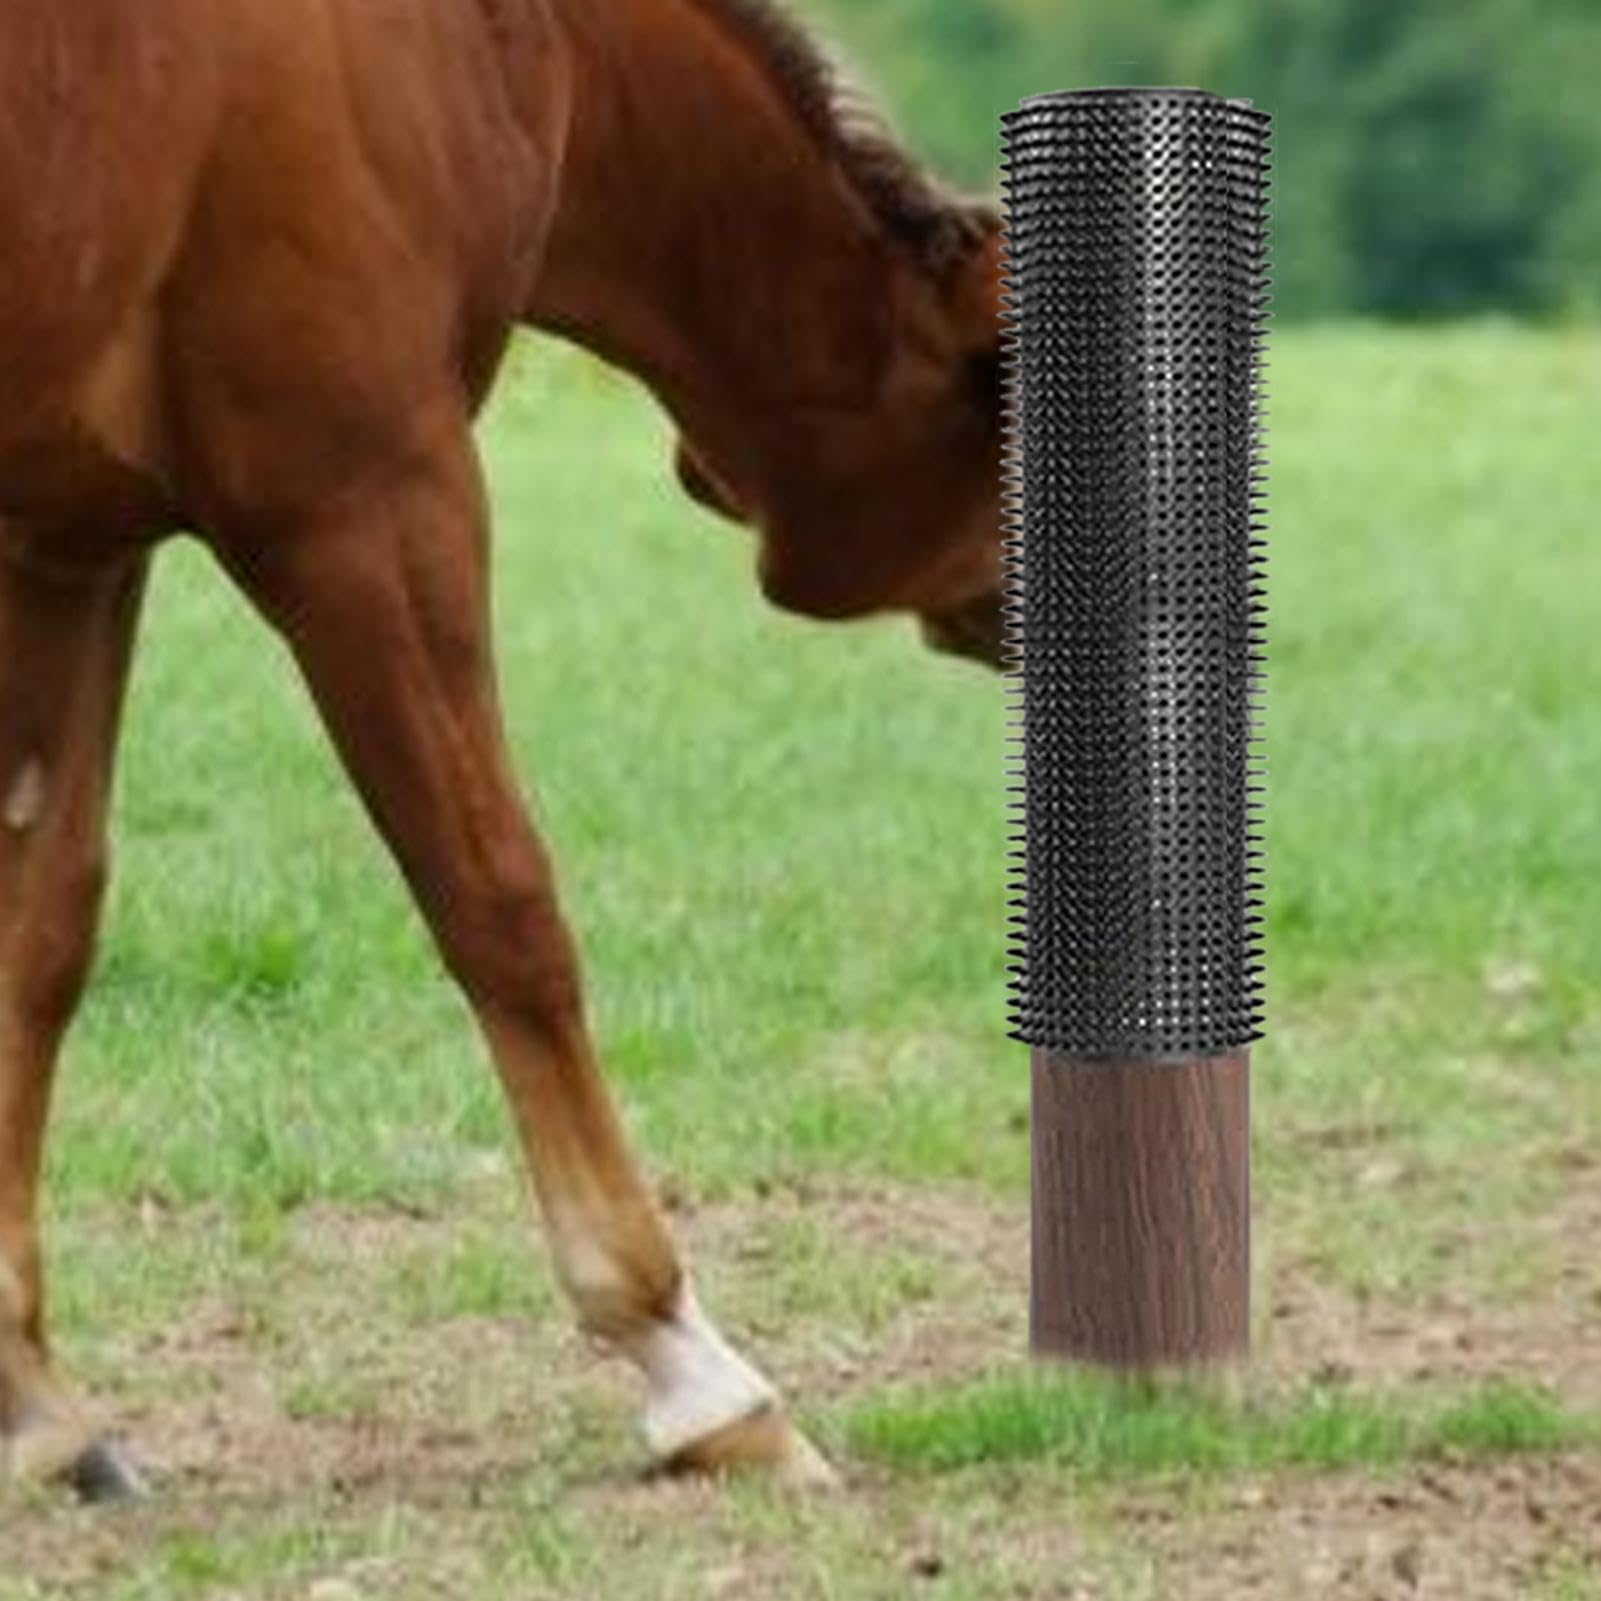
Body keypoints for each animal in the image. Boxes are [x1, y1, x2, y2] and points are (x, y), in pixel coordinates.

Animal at [0, 0, 1003, 1498]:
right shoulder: (365, 503)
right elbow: (500, 903)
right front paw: (686, 1360)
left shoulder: (72, 546)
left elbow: (42, 933)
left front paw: (31, 1396)